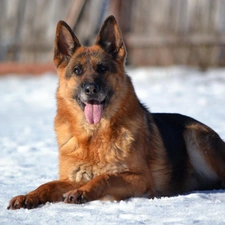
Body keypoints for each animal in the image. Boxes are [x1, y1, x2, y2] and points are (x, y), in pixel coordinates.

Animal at [7, 15, 225, 209]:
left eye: (102, 68)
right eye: (77, 70)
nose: (91, 89)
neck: (93, 136)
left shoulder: (138, 178)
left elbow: (105, 177)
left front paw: (83, 192)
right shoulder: (73, 177)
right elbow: (48, 185)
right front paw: (28, 196)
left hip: (195, 137)